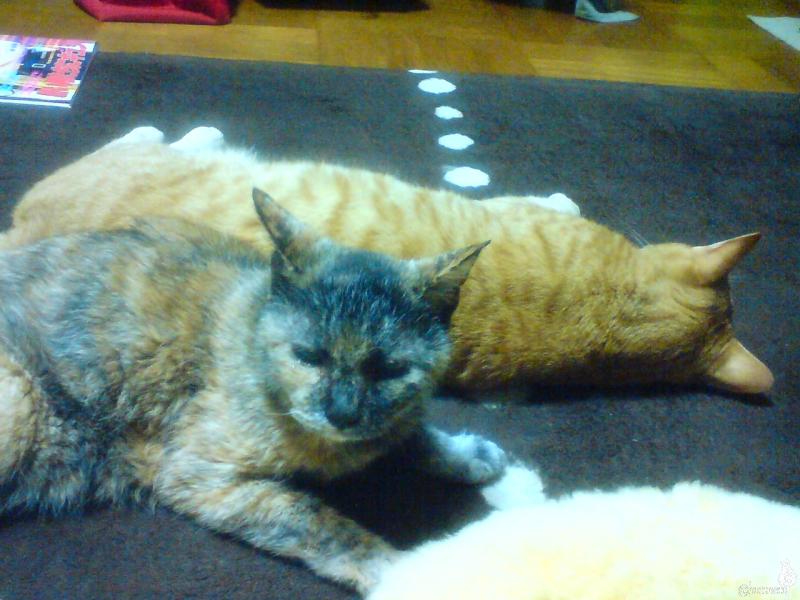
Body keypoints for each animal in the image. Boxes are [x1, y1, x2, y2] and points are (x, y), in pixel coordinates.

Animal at [0, 189, 506, 595]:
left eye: (390, 369)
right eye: (309, 356)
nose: (342, 412)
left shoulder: (384, 423)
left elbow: (413, 434)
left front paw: (467, 453)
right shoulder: (199, 474)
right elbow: (318, 521)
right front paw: (403, 572)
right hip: (23, 399)